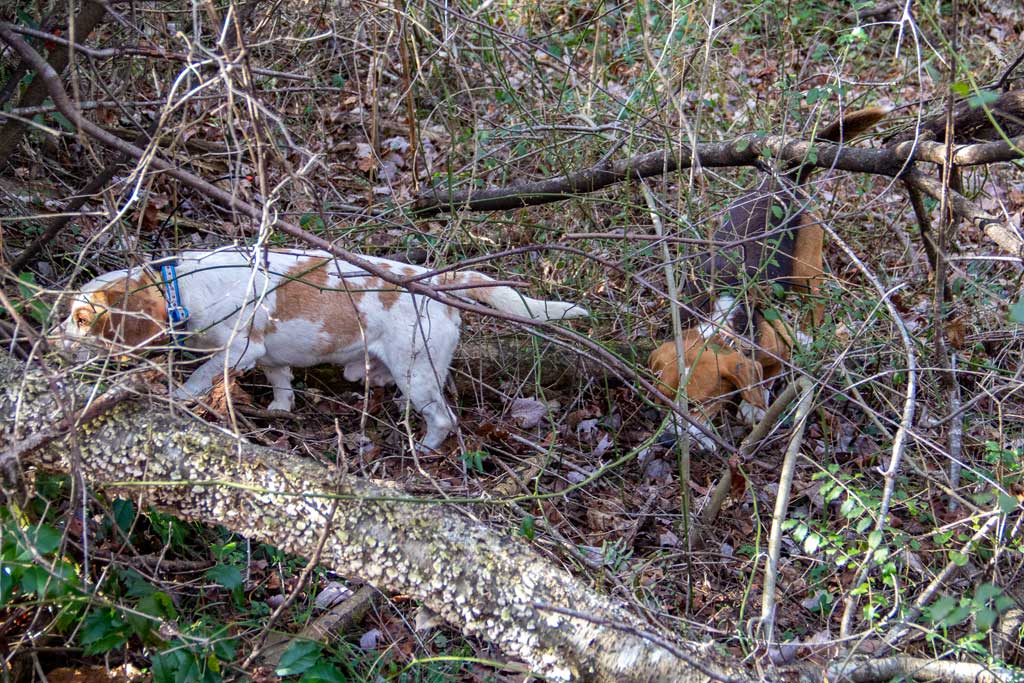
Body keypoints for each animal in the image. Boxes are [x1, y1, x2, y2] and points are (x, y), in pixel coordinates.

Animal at [64, 248, 589, 450]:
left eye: (81, 319)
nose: (51, 343)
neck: (180, 290)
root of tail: (437, 281)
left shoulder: (238, 351)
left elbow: (198, 376)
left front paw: (178, 397)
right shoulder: (268, 358)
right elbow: (281, 383)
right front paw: (279, 409)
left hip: (418, 374)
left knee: (443, 419)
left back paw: (423, 446)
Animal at [655, 107, 888, 448]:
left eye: (699, 405)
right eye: (660, 399)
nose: (666, 442)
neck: (721, 324)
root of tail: (784, 182)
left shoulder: (775, 348)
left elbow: (768, 373)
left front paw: (755, 407)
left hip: (807, 271)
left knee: (815, 307)